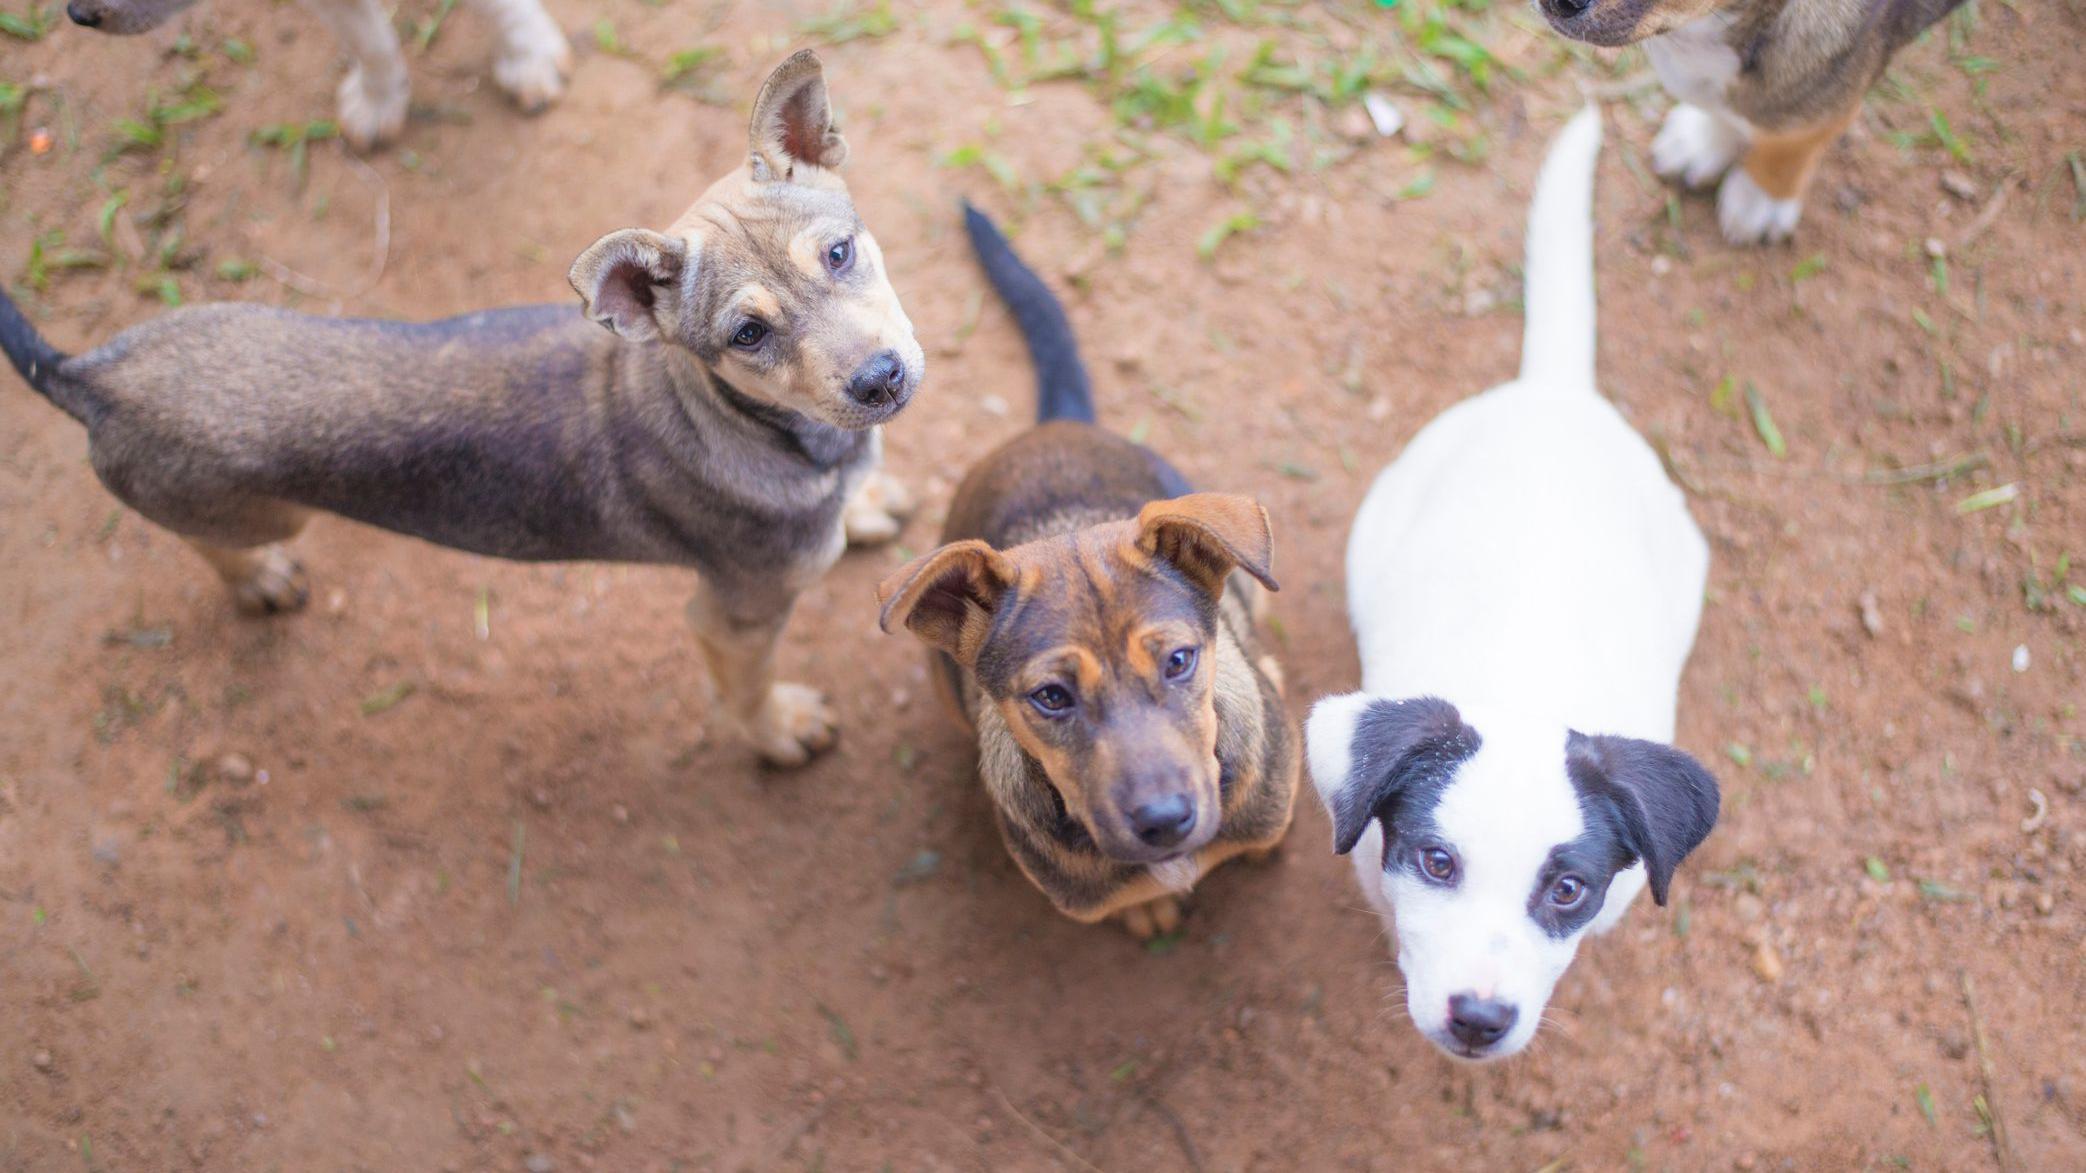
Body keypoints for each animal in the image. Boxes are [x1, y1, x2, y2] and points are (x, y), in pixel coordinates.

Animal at [0, 50, 922, 768]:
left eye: (840, 253)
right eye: (747, 334)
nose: (880, 380)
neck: (762, 428)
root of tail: (91, 372)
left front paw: (868, 502)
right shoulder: (734, 615)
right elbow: (746, 690)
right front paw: (779, 731)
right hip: (255, 511)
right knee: (210, 540)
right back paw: (257, 577)